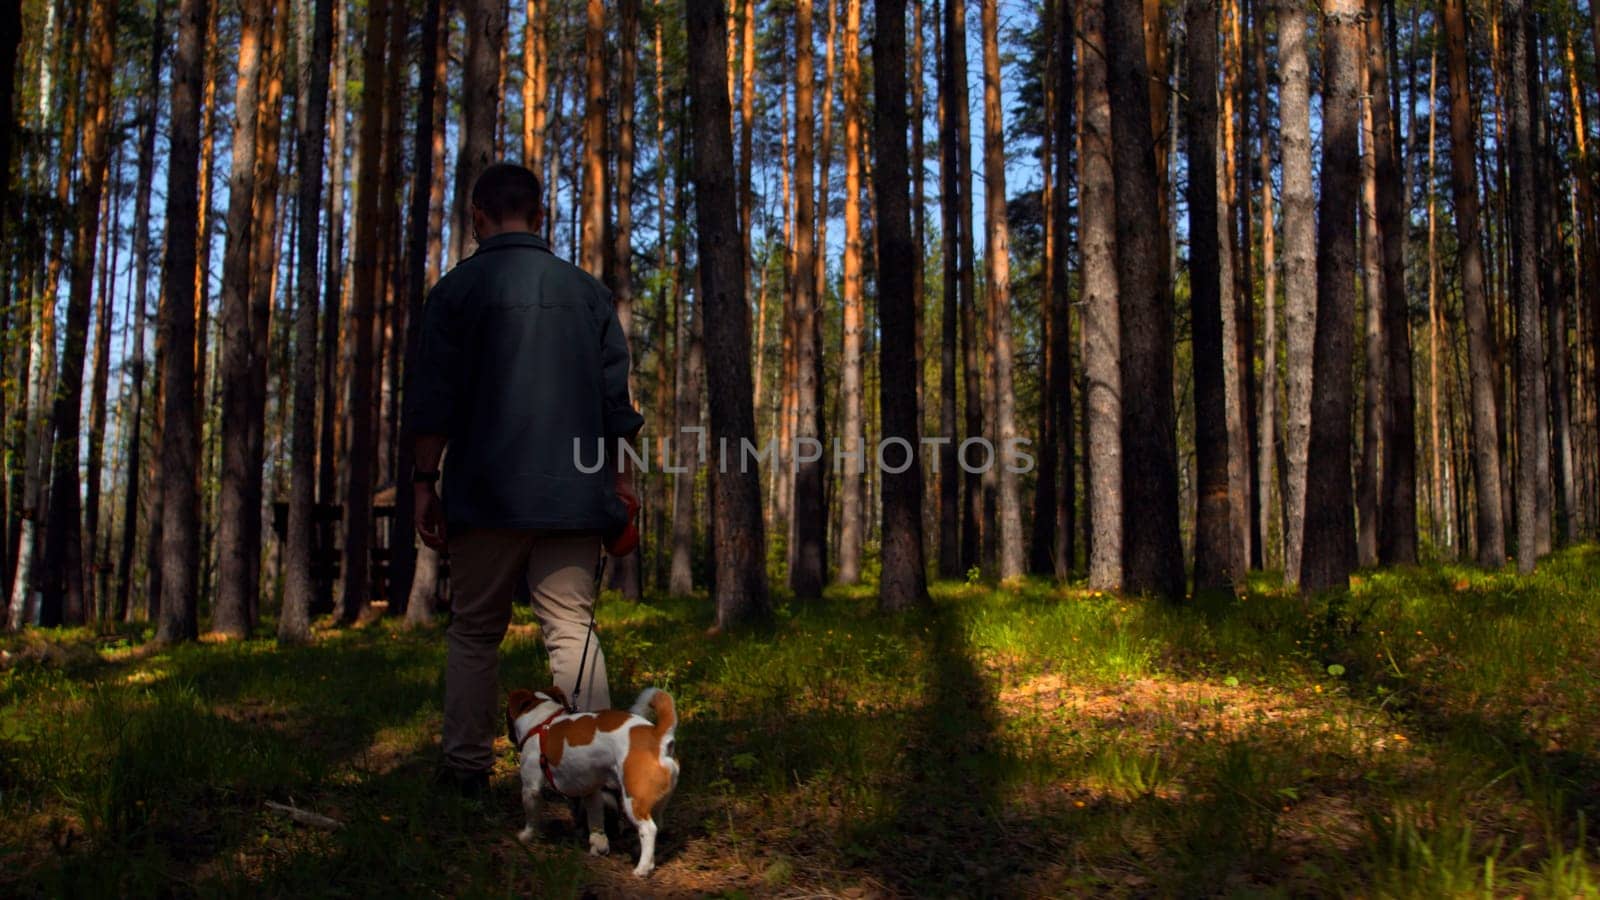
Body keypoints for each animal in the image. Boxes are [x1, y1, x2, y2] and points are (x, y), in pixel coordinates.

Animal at [505, 682, 681, 871]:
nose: (509, 736)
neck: (541, 722)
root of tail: (658, 736)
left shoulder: (530, 788)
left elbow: (532, 817)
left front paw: (526, 836)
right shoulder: (591, 791)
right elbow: (596, 820)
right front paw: (598, 844)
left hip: (633, 798)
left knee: (649, 829)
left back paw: (642, 868)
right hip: (658, 800)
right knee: (657, 824)